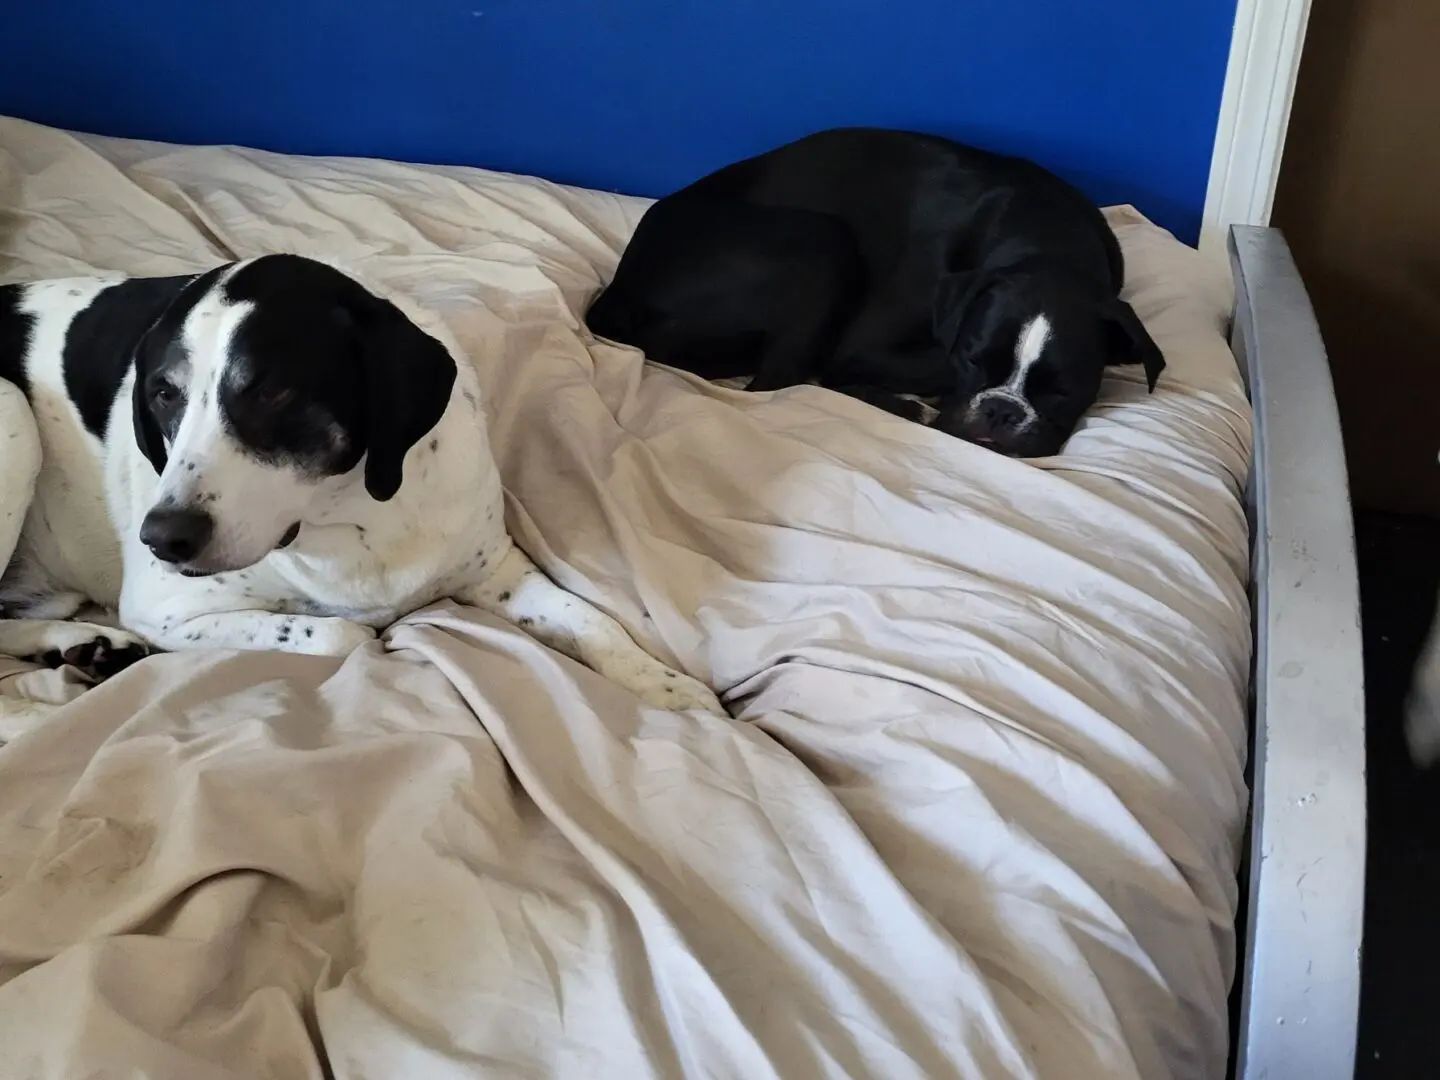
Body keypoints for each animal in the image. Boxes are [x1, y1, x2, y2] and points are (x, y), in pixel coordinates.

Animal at [0, 250, 725, 714]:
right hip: (13, 414)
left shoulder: (495, 569)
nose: (163, 538)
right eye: (162, 395)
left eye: (272, 390)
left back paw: (81, 643)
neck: (352, 515)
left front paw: (663, 682)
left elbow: (590, 621)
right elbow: (343, 633)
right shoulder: (165, 609)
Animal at [587, 126, 1169, 457]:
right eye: (973, 360)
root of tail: (617, 293)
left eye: (1063, 391)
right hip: (822, 242)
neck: (1047, 239)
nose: (1002, 413)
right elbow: (922, 366)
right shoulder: (864, 346)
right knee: (776, 386)